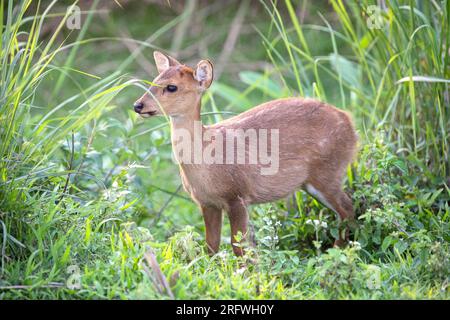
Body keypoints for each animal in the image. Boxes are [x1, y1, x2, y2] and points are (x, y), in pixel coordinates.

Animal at [134, 52, 358, 258]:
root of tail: (349, 122)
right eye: (153, 81)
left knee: (348, 209)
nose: (138, 105)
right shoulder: (207, 202)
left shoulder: (237, 196)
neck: (207, 162)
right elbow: (211, 246)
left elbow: (239, 247)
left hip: (328, 173)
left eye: (172, 87)